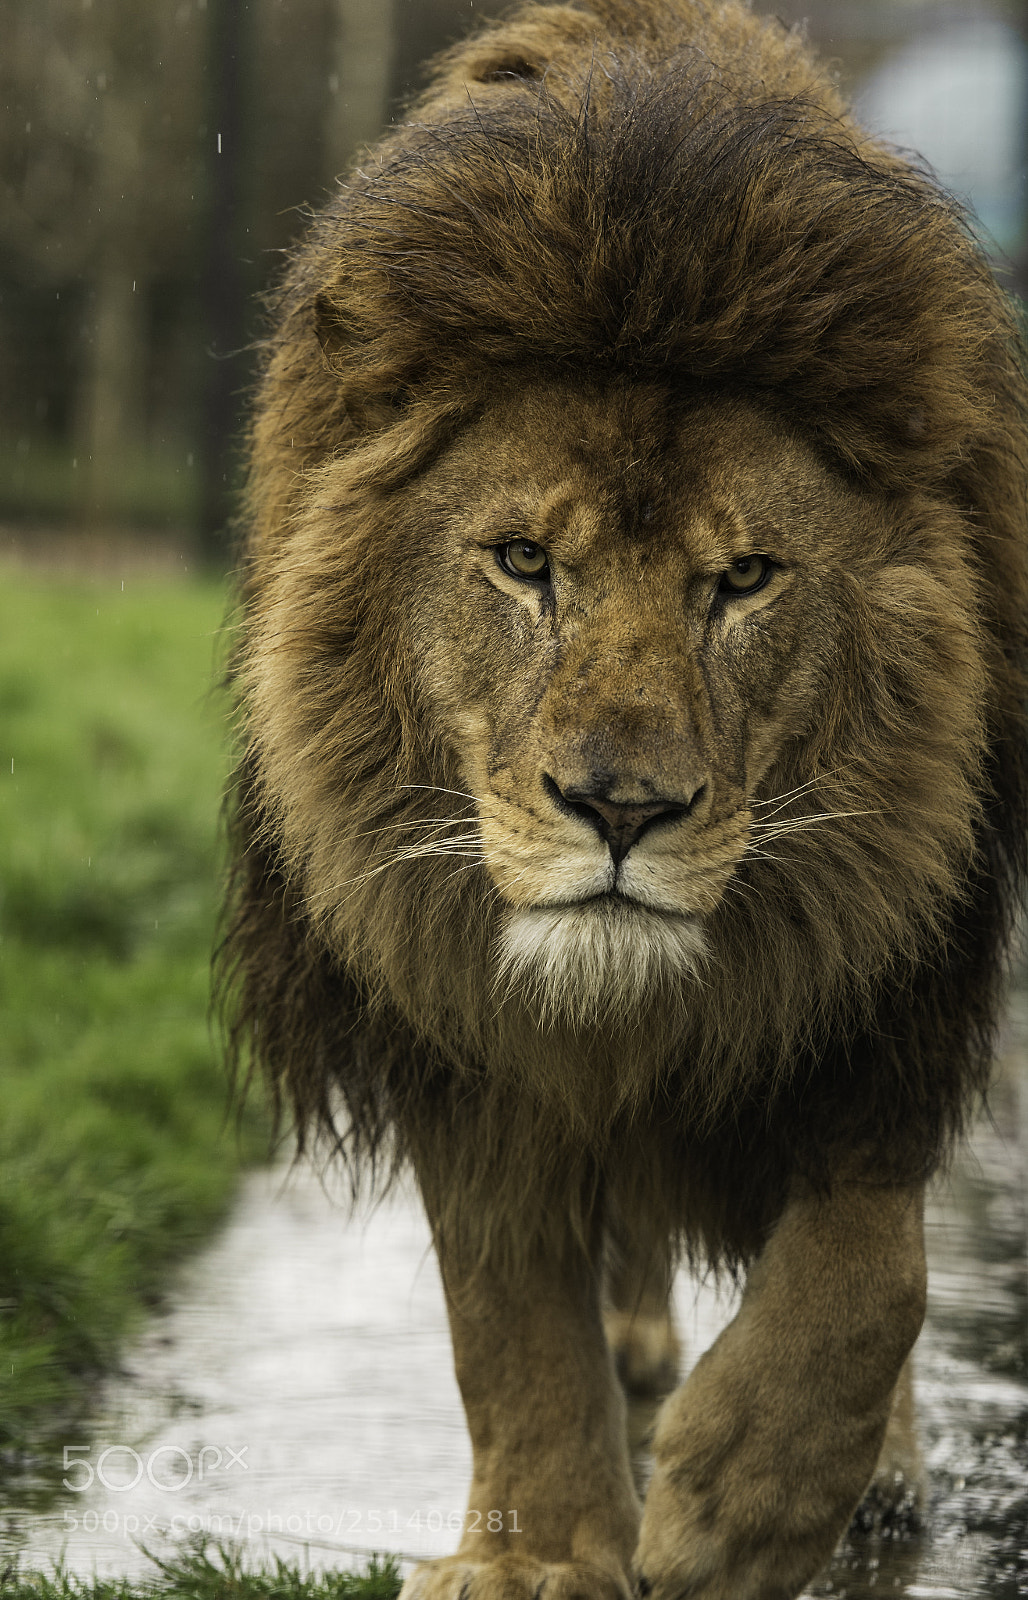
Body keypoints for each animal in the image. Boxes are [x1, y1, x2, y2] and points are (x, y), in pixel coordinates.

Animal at [218, 2, 1028, 1596]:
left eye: (746, 578)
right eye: (525, 562)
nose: (620, 810)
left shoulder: (890, 979)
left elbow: (870, 1274)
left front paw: (739, 1507)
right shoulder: (449, 1016)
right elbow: (505, 1318)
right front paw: (536, 1555)